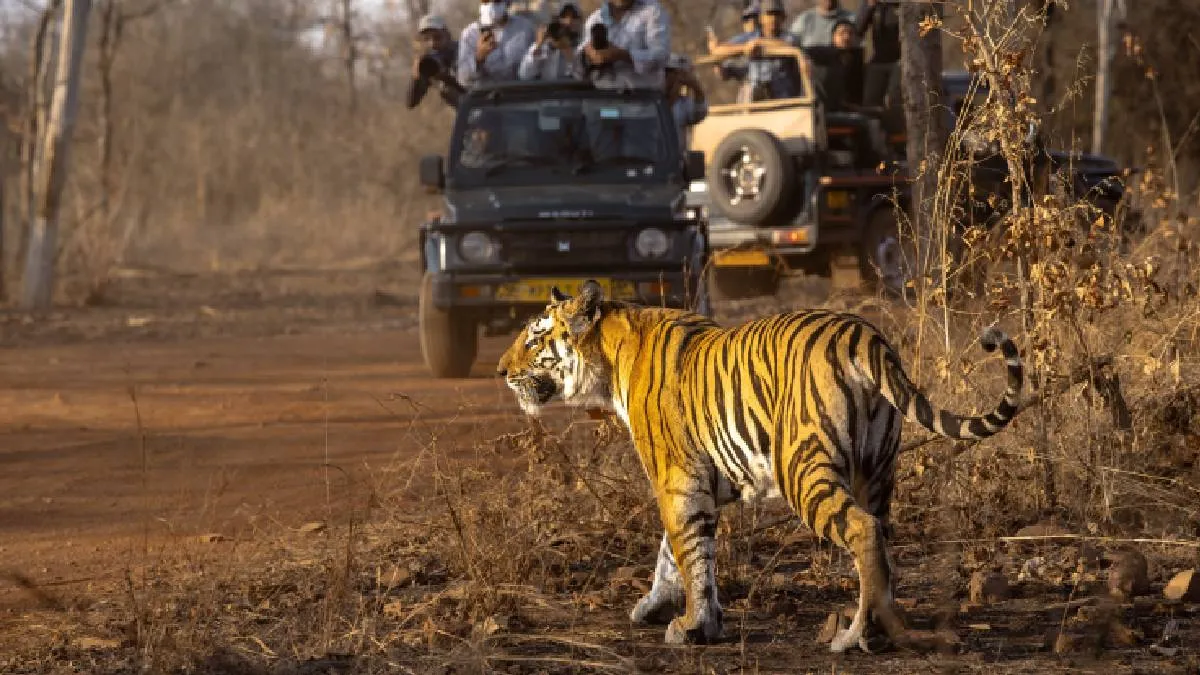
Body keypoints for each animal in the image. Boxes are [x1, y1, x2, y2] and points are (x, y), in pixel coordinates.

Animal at [496, 281, 1023, 651]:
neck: (607, 360)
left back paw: (858, 635)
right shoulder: (703, 481)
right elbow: (674, 551)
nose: (501, 370)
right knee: (882, 537)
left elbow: (690, 552)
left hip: (802, 468)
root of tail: (865, 335)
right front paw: (656, 606)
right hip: (877, 470)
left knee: (863, 531)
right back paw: (881, 624)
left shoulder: (678, 480)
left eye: (535, 338)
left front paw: (694, 625)